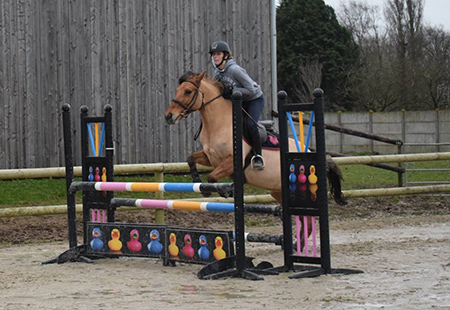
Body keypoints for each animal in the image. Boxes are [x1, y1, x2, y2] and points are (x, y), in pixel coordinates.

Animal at [164, 71, 344, 245]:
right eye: (177, 90)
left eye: (188, 91)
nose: (168, 116)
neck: (218, 123)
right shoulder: (211, 158)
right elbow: (191, 159)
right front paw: (196, 180)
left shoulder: (231, 162)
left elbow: (212, 177)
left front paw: (222, 191)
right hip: (278, 191)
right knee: (301, 217)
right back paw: (294, 244)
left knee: (307, 218)